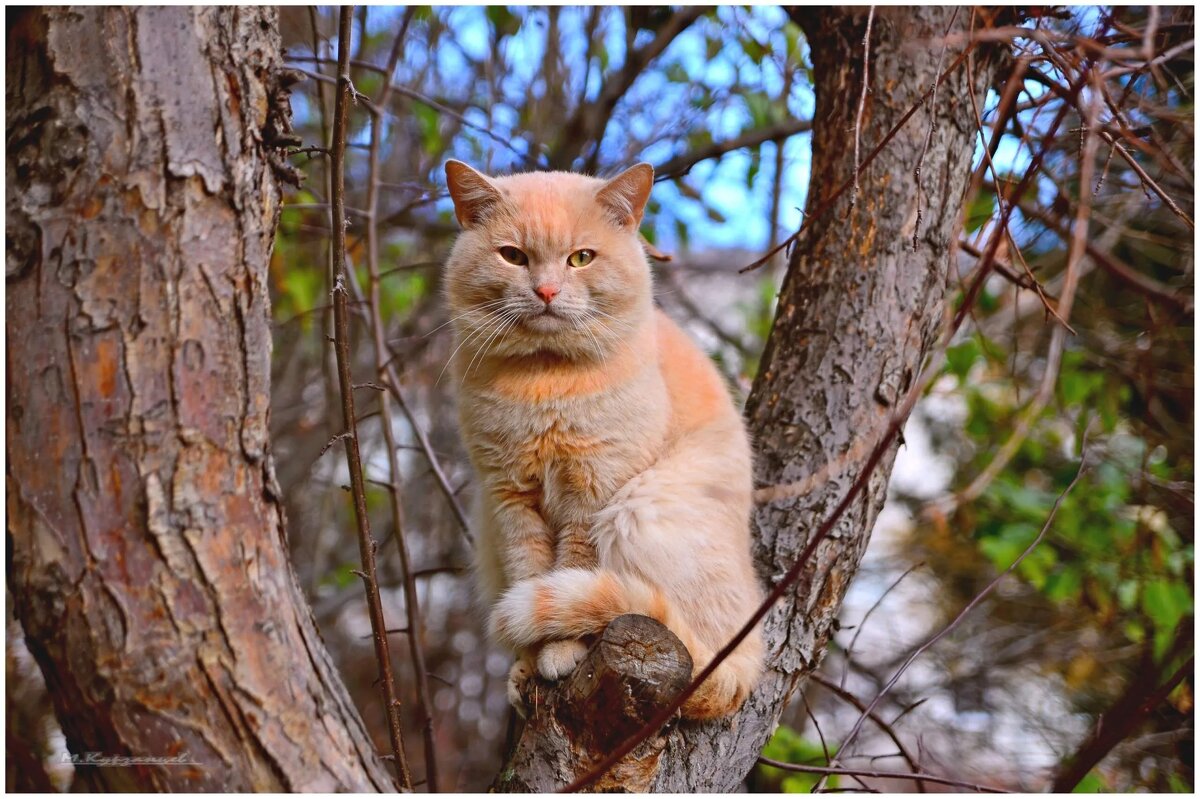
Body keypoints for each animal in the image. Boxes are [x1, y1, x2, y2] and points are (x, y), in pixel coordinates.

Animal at [439, 158, 758, 719]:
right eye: (513, 256)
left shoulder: (594, 493)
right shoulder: (508, 499)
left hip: (637, 514)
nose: (546, 291)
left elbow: (570, 569)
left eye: (581, 258)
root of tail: (747, 658)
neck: (545, 380)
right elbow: (532, 575)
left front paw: (560, 651)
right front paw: (533, 656)